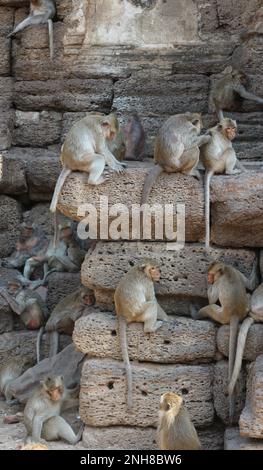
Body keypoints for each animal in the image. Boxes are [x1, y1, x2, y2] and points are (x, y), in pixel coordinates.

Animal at [114, 258, 169, 410]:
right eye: (153, 268)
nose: (158, 272)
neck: (142, 271)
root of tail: (122, 315)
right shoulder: (148, 282)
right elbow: (153, 299)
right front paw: (168, 318)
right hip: (139, 313)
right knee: (151, 305)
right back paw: (152, 327)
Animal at [192, 260, 258, 422]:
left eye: (210, 275)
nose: (208, 278)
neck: (225, 270)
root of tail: (234, 314)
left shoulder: (218, 283)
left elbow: (211, 299)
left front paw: (206, 285)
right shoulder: (235, 270)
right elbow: (250, 284)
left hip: (222, 315)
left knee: (211, 307)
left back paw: (196, 314)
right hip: (244, 308)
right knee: (248, 293)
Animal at [201, 117, 244, 250]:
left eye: (233, 128)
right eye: (228, 128)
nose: (233, 133)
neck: (220, 130)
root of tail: (210, 167)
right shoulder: (226, 141)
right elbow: (229, 147)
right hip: (219, 163)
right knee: (230, 150)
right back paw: (230, 171)